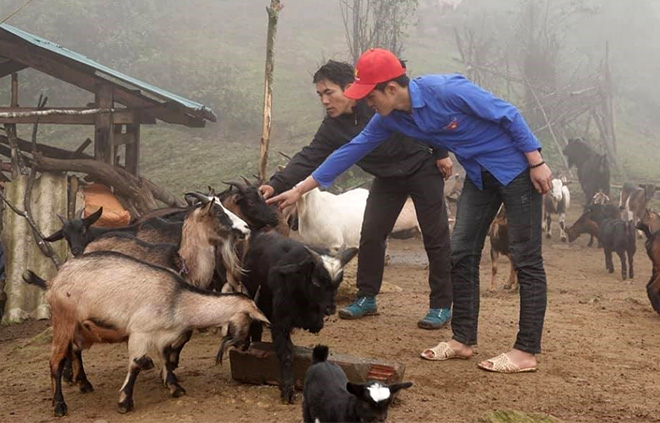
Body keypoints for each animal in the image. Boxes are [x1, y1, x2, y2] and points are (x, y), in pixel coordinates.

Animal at [24, 252, 270, 418]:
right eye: (249, 322)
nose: (245, 347)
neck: (179, 300)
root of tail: (53, 281)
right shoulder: (140, 333)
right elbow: (135, 365)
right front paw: (124, 402)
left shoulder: (163, 336)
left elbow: (166, 360)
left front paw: (174, 387)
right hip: (63, 321)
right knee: (55, 361)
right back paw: (59, 405)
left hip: (80, 328)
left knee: (74, 351)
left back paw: (84, 383)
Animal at [241, 232, 358, 404]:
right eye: (316, 282)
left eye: (339, 282)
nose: (331, 308)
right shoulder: (279, 322)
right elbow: (286, 355)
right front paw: (288, 389)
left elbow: (314, 324)